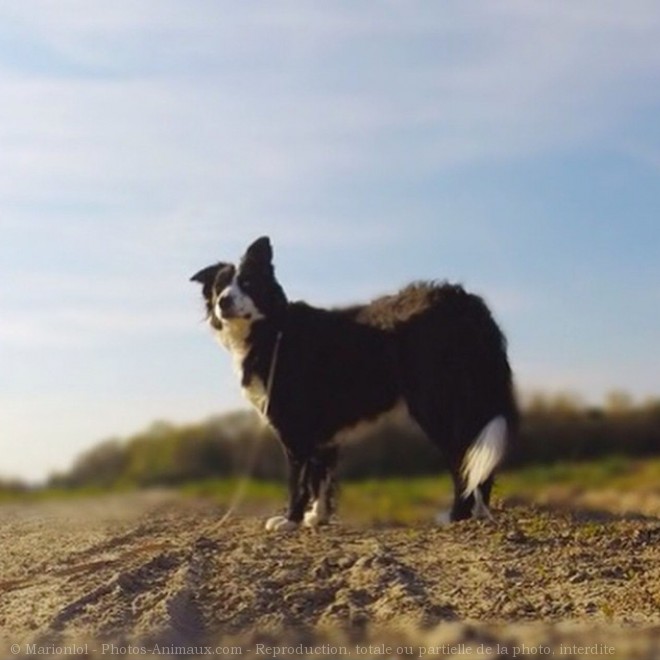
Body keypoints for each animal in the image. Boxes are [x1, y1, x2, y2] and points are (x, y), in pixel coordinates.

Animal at [189, 237, 516, 532]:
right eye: (218, 287)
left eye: (247, 282)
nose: (222, 302)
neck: (272, 327)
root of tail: (468, 303)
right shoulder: (321, 432)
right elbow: (320, 476)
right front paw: (316, 517)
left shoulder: (295, 427)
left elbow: (299, 478)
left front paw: (290, 519)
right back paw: (477, 514)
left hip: (437, 403)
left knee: (462, 460)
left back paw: (456, 516)